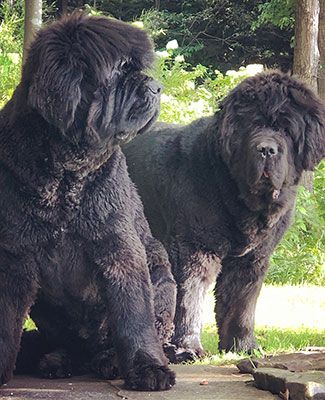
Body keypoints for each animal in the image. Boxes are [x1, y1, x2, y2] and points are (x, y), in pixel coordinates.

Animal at [0, 14, 176, 390]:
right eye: (120, 69)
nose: (156, 87)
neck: (66, 174)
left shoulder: (119, 247)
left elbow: (134, 316)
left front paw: (149, 369)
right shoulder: (14, 253)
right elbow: (6, 320)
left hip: (160, 269)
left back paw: (110, 360)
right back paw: (58, 359)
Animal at [122, 70, 324, 360]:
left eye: (286, 129)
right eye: (252, 125)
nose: (266, 149)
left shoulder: (252, 258)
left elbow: (241, 302)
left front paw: (243, 346)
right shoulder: (194, 248)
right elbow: (190, 298)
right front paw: (187, 348)